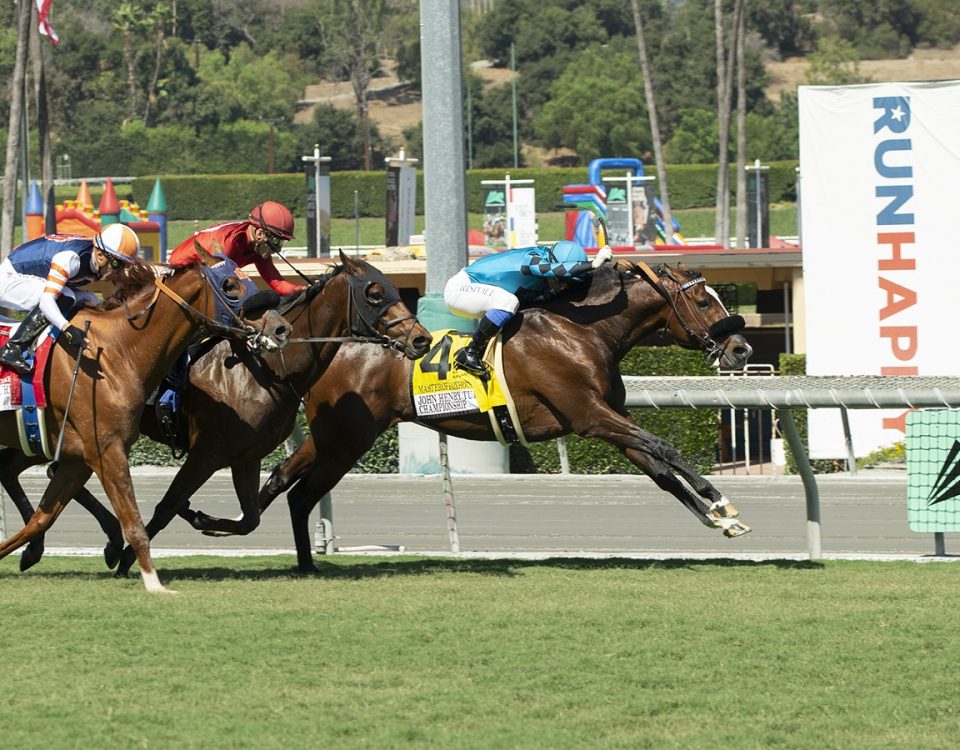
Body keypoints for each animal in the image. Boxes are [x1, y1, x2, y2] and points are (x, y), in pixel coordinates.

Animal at [0, 248, 292, 592]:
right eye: (231, 285)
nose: (281, 329)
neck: (116, 351)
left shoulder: (79, 457)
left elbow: (41, 519)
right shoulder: (108, 450)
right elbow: (135, 522)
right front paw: (154, 583)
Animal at [176, 262, 752, 572]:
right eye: (705, 300)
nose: (741, 347)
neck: (583, 330)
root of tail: (328, 343)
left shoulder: (605, 418)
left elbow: (658, 468)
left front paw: (717, 518)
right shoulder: (589, 414)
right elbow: (665, 447)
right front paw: (722, 503)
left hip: (335, 435)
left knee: (284, 481)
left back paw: (266, 543)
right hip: (346, 437)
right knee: (299, 491)